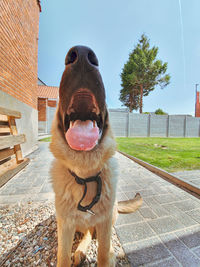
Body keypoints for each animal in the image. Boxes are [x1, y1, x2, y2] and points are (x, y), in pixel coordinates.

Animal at [49, 46, 142, 267]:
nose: (82, 54)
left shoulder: (105, 222)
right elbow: (62, 255)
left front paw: (106, 255)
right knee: (87, 233)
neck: (85, 174)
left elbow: (103, 252)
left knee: (95, 235)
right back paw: (80, 252)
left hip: (109, 215)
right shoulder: (65, 225)